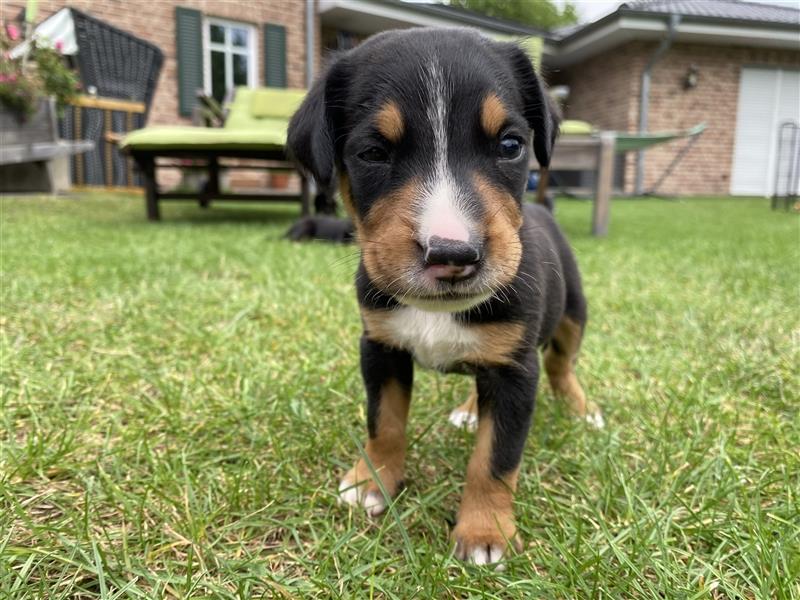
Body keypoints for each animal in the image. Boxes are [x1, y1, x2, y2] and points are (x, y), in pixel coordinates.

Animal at [286, 27, 600, 564]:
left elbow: (496, 458)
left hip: (572, 313)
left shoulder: (516, 372)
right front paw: (371, 483)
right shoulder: (380, 347)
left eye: (511, 145)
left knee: (562, 364)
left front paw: (485, 531)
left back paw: (581, 409)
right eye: (373, 153)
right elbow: (385, 422)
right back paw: (472, 410)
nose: (453, 252)